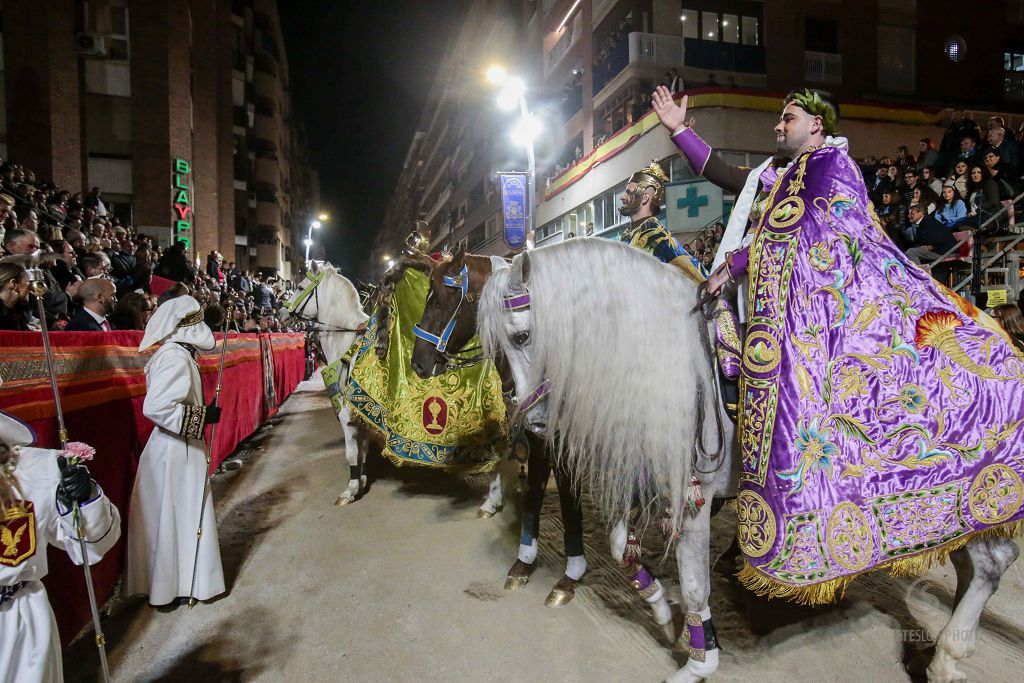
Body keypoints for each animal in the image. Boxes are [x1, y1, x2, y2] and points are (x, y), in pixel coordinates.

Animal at [475, 236, 1019, 683]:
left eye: (522, 336)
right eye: (497, 348)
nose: (531, 423)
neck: (666, 367)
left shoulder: (692, 499)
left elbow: (696, 585)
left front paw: (698, 663)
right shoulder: (649, 481)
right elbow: (618, 546)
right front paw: (662, 609)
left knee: (993, 560)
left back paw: (949, 655)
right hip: (951, 518)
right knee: (979, 558)